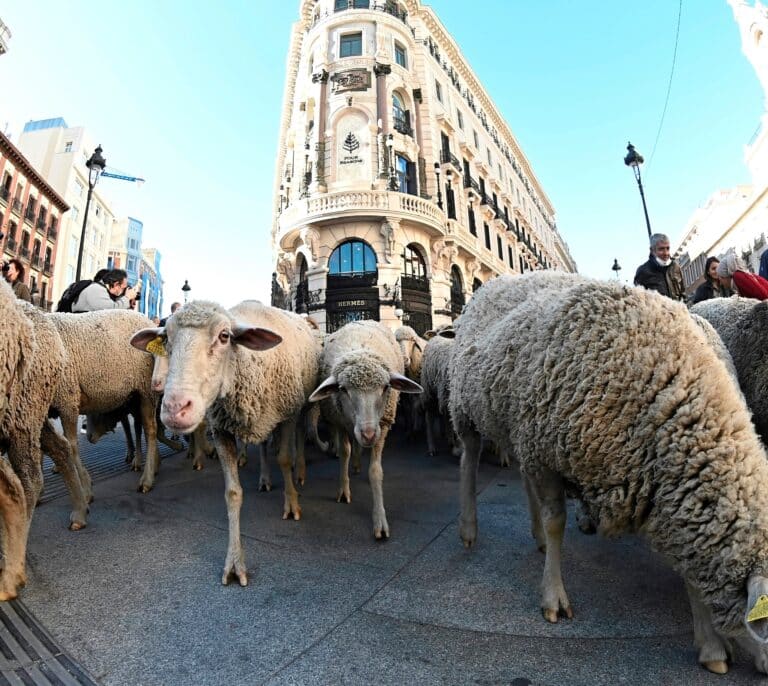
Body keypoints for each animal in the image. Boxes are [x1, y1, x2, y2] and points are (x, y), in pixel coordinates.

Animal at [48, 310, 162, 497]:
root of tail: (147, 320)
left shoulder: (67, 399)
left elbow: (70, 444)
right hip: (133, 396)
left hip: (146, 390)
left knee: (151, 429)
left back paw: (147, 478)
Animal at [130, 299, 320, 586]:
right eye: (166, 339)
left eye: (224, 336)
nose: (175, 408)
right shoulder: (221, 430)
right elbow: (232, 493)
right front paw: (234, 563)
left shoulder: (288, 414)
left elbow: (284, 459)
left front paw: (292, 503)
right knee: (262, 445)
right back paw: (264, 478)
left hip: (300, 405)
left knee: (297, 438)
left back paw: (300, 471)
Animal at [309, 320, 422, 539]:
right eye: (343, 389)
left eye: (386, 387)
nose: (368, 434)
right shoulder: (341, 421)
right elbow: (344, 452)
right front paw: (344, 490)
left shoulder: (382, 426)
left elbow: (376, 471)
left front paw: (380, 520)